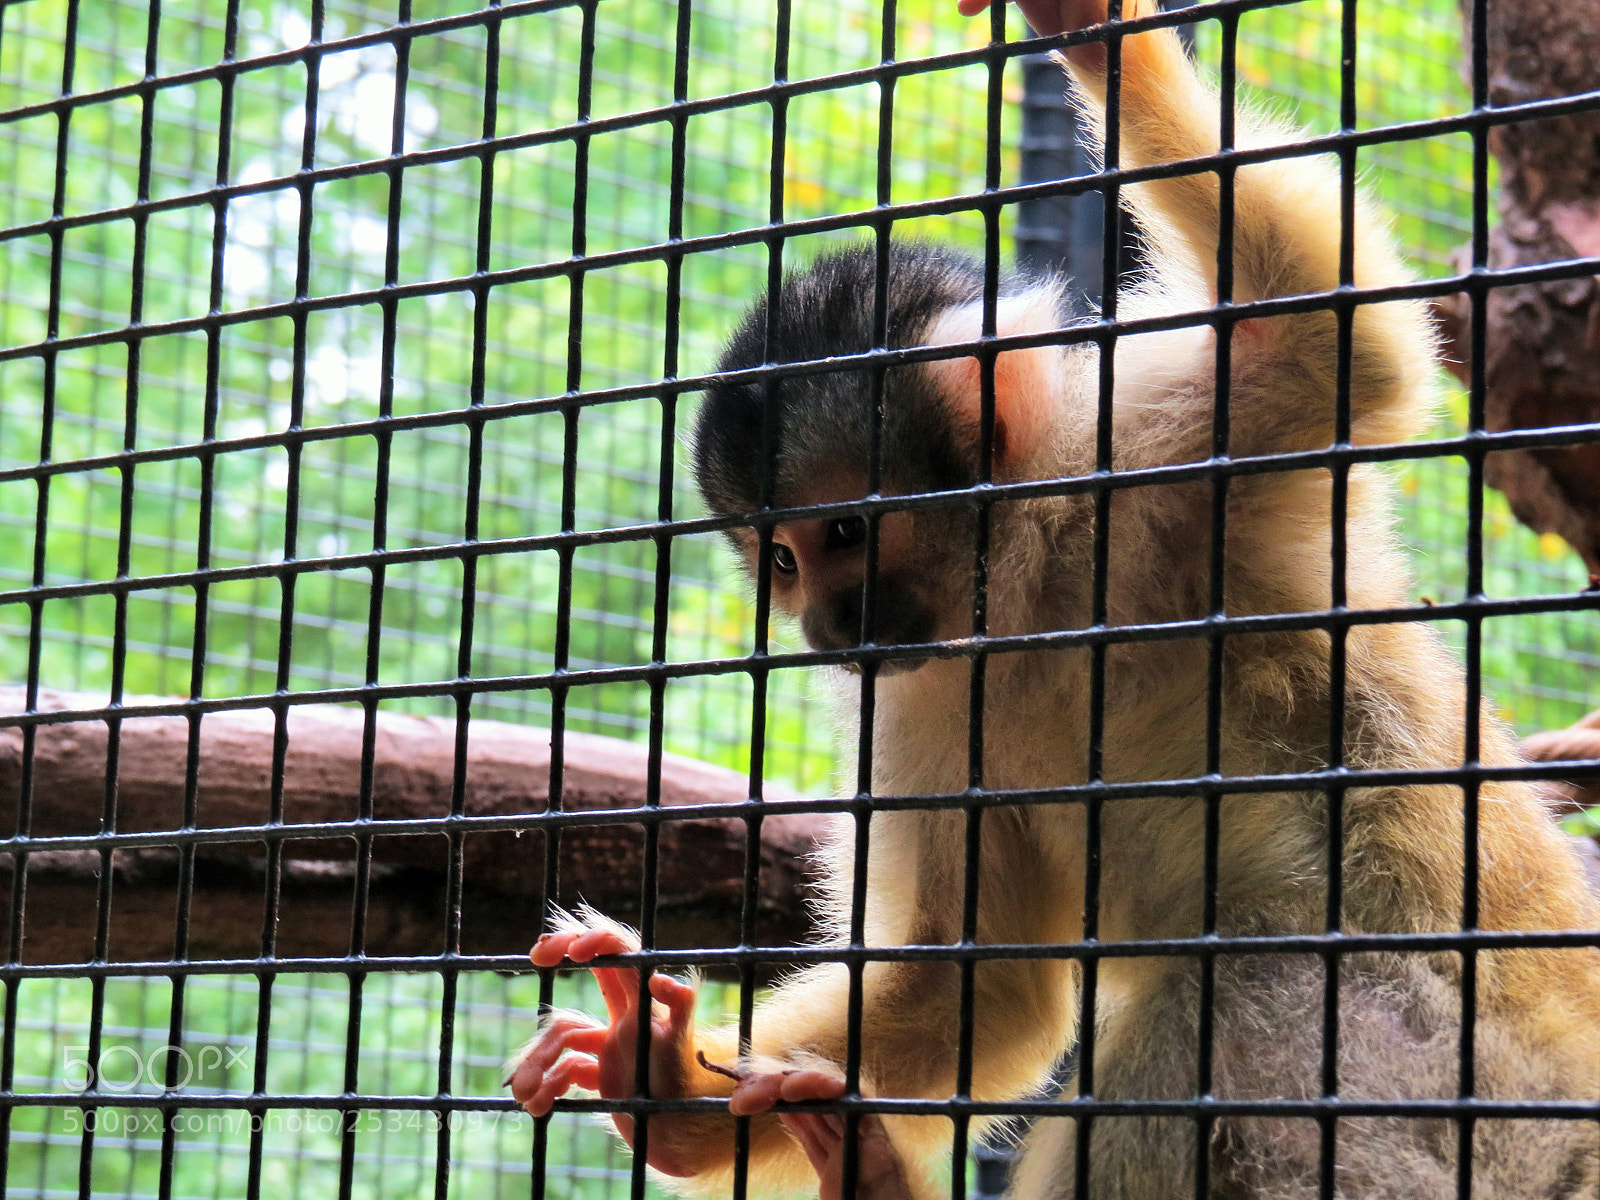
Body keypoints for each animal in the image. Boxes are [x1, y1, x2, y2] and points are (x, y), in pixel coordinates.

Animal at [506, 0, 1600, 1196]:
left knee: (1242, 985)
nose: (825, 624)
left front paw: (1101, 40)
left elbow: (1331, 346)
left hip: (1480, 1120)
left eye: (844, 533)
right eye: (780, 558)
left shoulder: (1156, 456)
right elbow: (981, 981)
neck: (1030, 592)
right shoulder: (922, 692)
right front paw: (658, 1084)